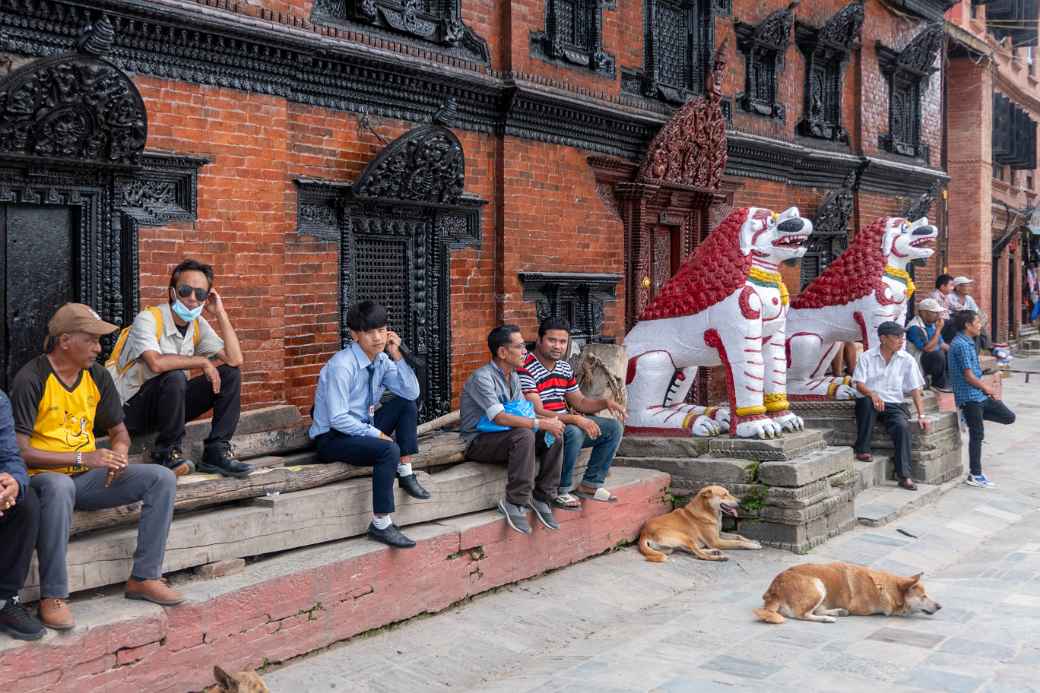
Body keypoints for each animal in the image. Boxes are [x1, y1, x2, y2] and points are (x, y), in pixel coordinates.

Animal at [757, 557, 944, 624]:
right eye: (923, 596)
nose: (940, 606)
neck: (887, 589)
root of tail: (774, 589)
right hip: (818, 585)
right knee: (801, 614)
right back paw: (827, 618)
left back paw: (836, 612)